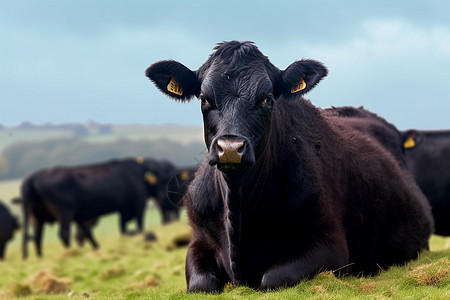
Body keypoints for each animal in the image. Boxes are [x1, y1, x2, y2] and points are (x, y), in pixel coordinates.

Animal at [21, 157, 178, 258]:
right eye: (161, 178)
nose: (162, 195)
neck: (138, 173)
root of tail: (34, 176)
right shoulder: (139, 205)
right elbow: (139, 225)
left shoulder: (123, 210)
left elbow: (122, 228)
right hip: (65, 213)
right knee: (64, 234)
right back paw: (71, 253)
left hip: (39, 217)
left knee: (38, 238)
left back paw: (41, 257)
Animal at [146, 41, 434, 292]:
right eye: (205, 98)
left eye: (266, 99)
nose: (230, 148)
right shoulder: (199, 240)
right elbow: (201, 284)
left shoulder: (330, 247)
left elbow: (273, 278)